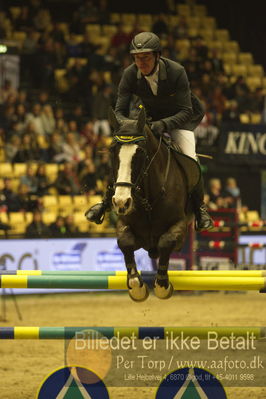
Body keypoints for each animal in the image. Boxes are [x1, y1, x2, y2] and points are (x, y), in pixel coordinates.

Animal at [108, 108, 200, 302]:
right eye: (112, 151)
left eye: (140, 153)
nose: (121, 202)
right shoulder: (125, 224)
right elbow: (124, 242)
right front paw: (137, 287)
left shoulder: (179, 226)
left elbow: (166, 242)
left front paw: (162, 286)